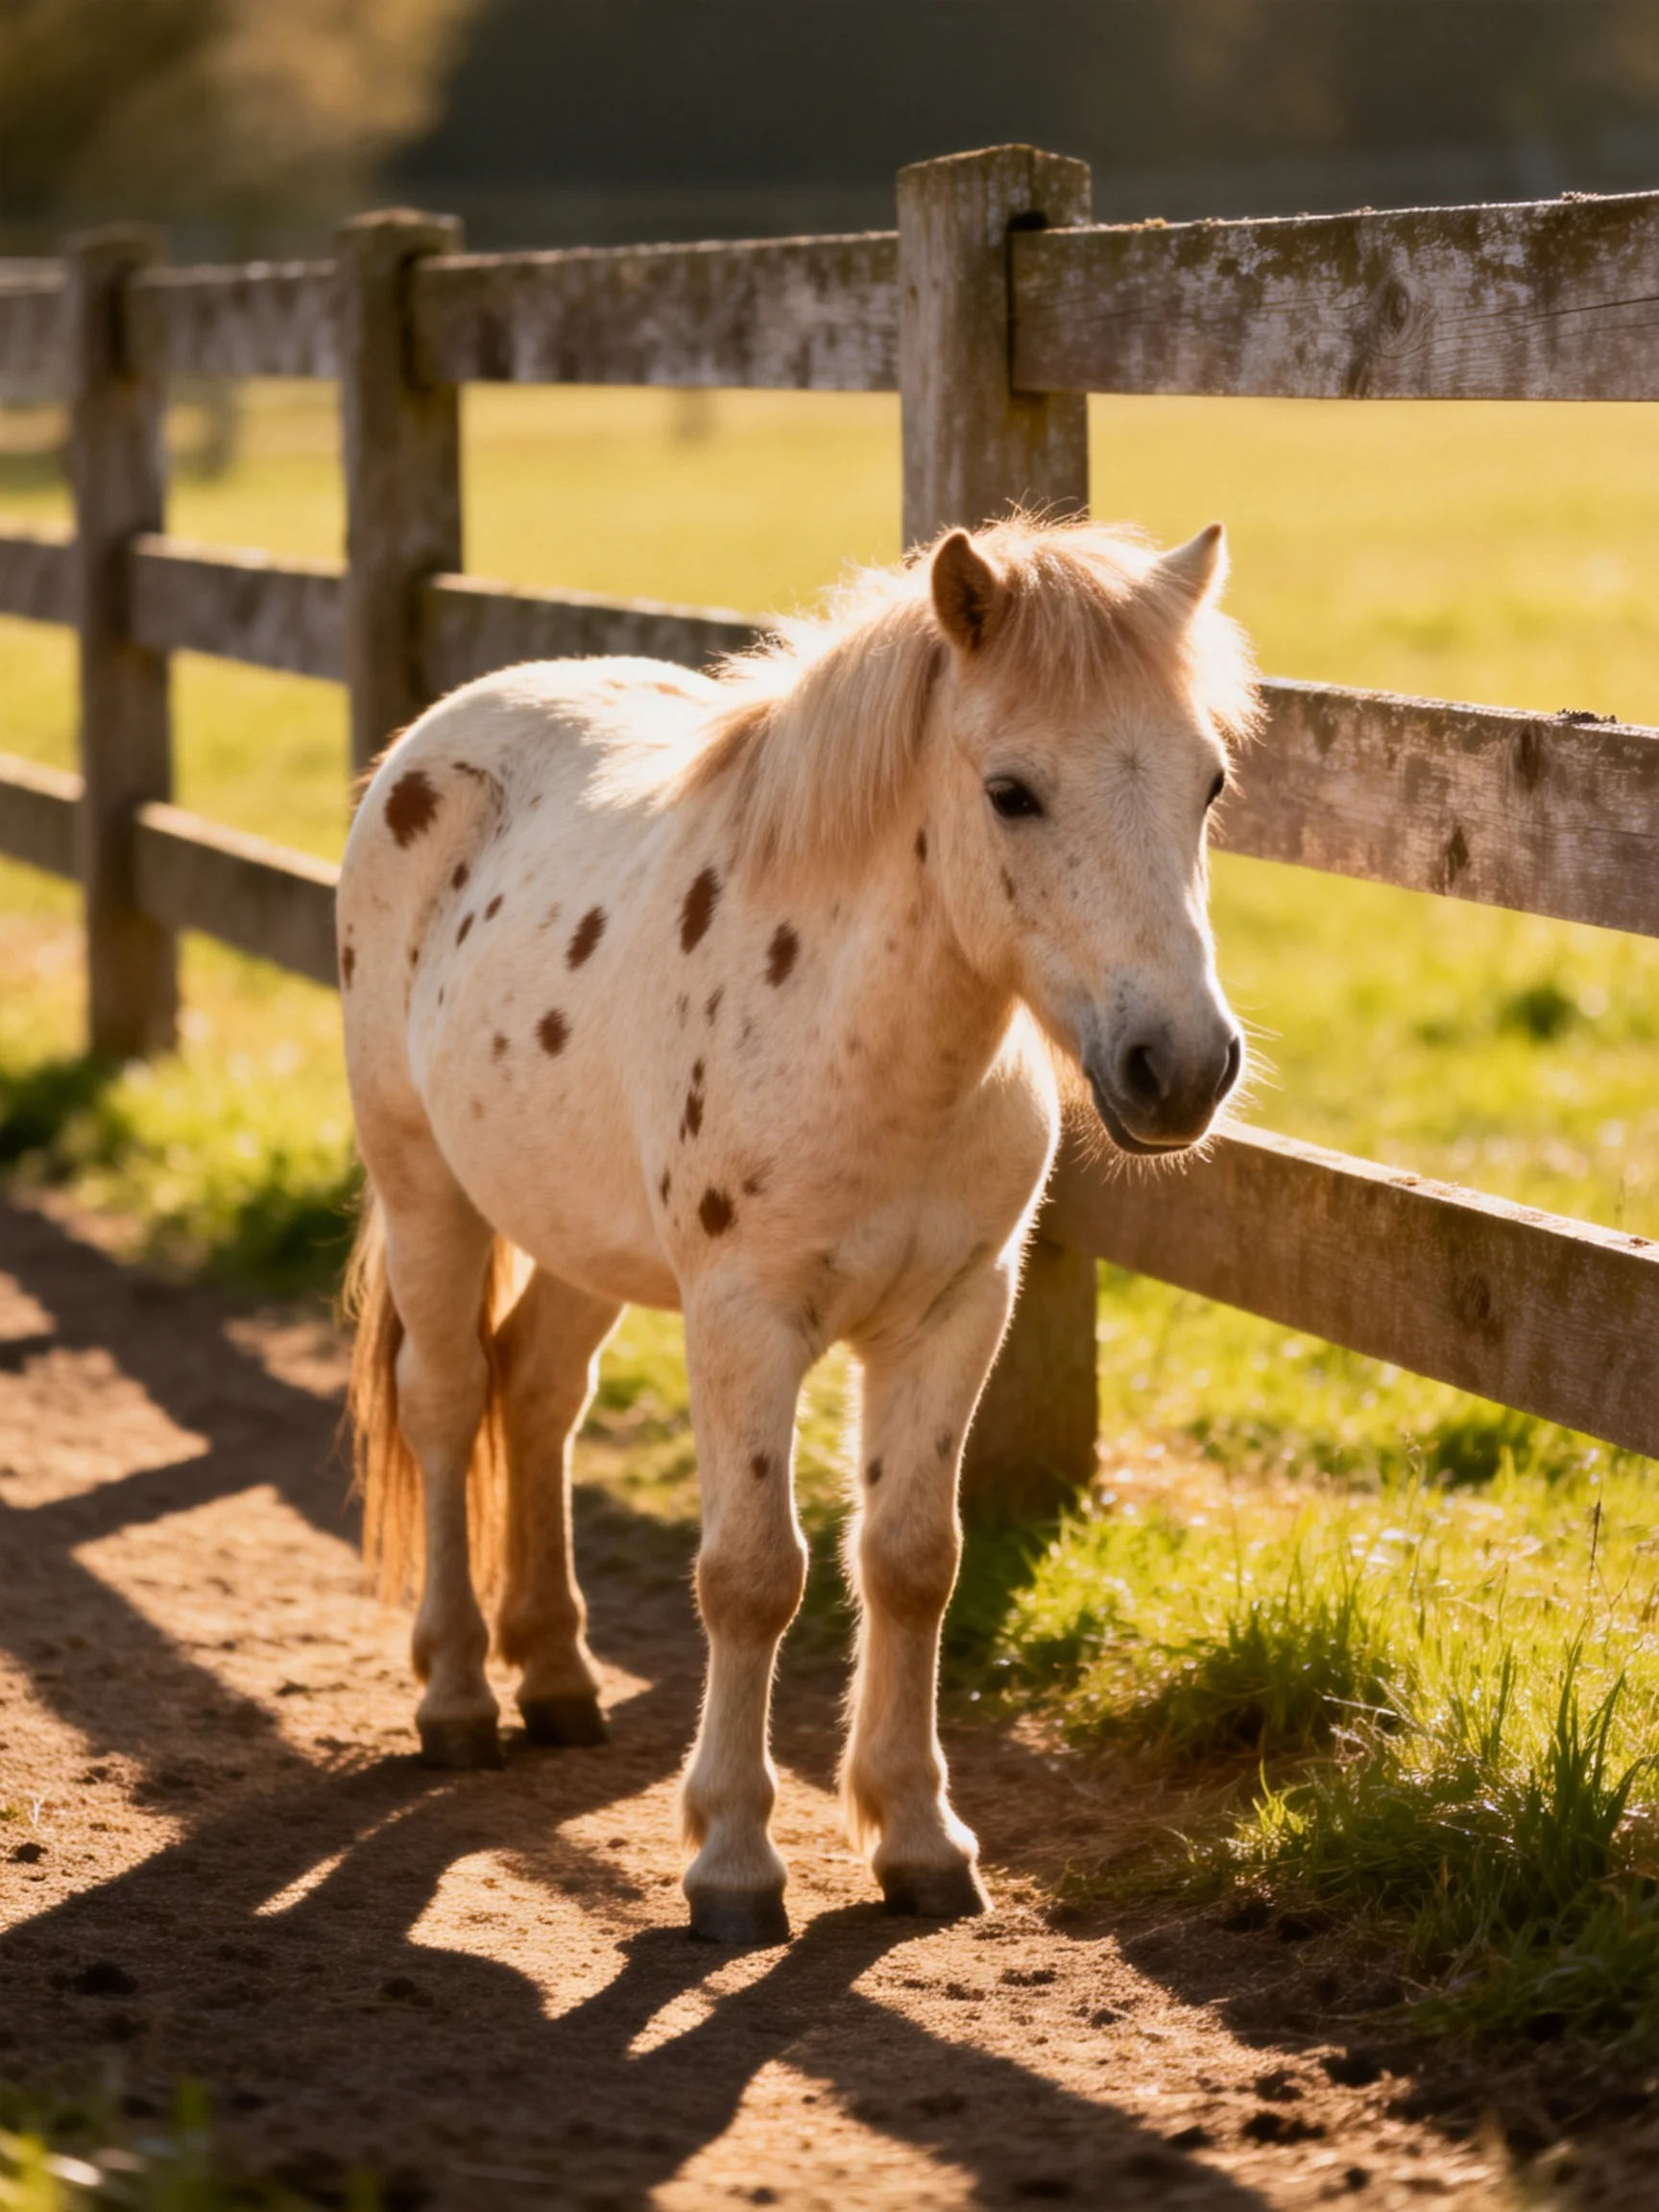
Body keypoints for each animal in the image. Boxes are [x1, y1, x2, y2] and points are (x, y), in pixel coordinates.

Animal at [337, 514, 1258, 1945]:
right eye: (1011, 792)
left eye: (1207, 784)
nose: (1183, 1067)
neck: (864, 1039)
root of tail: (433, 740)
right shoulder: (744, 1319)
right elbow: (753, 1574)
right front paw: (731, 1858)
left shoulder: (954, 1312)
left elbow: (913, 1560)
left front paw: (918, 1838)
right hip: (426, 1182)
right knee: (445, 1402)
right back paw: (457, 1698)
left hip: (577, 1230)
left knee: (534, 1393)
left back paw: (555, 1676)